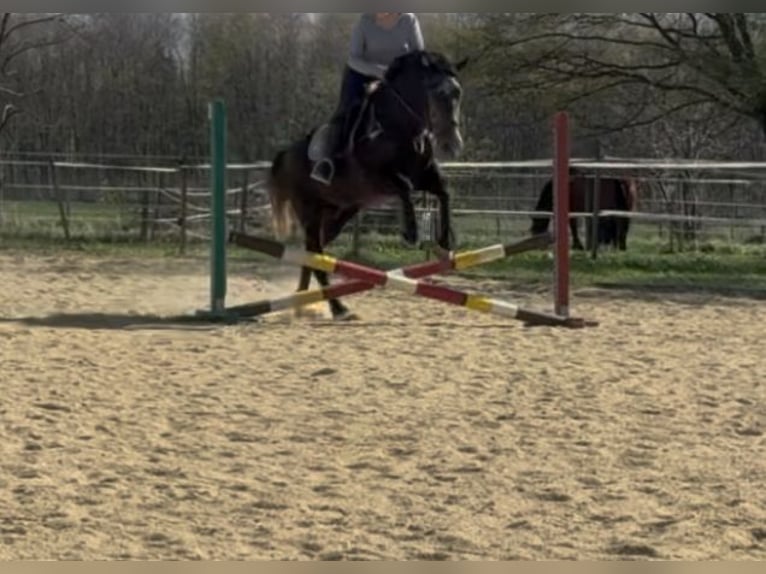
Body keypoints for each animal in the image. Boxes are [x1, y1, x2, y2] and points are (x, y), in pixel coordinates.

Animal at [266, 50, 467, 321]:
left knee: (313, 253)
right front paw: (411, 234)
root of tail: (286, 154)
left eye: (458, 93)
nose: (452, 145)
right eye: (436, 93)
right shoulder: (379, 178)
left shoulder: (425, 177)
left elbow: (444, 191)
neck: (402, 127)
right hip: (309, 209)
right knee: (315, 252)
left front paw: (445, 245)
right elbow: (405, 188)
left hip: (338, 213)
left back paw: (302, 303)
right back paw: (338, 309)